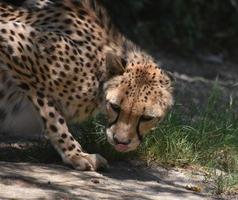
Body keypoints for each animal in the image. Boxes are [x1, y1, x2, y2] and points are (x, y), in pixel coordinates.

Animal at [0, 0, 173, 170]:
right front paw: (75, 154)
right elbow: (53, 117)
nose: (121, 142)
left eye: (146, 117)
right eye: (115, 107)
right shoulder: (11, 35)